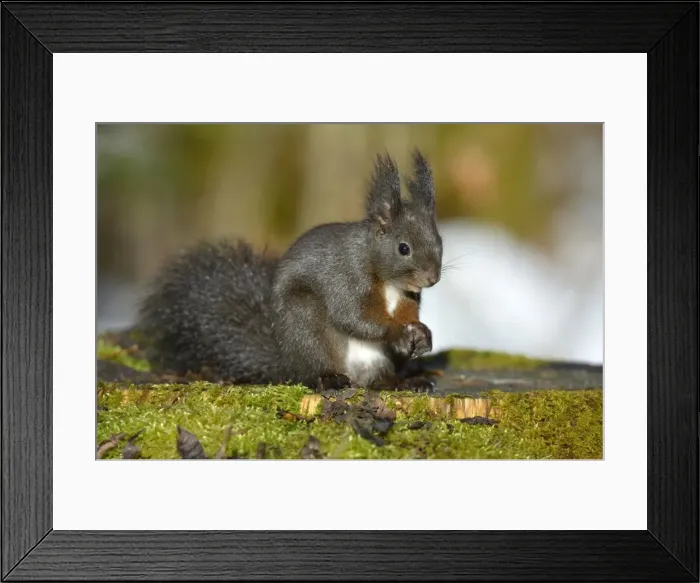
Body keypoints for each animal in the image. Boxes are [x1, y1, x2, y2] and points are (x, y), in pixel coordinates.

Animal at [137, 149, 443, 393]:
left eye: (439, 241)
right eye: (403, 248)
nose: (432, 279)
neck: (389, 281)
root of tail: (287, 361)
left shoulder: (406, 298)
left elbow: (407, 314)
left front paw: (422, 334)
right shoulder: (347, 278)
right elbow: (352, 316)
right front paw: (398, 334)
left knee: (377, 380)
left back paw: (403, 382)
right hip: (305, 322)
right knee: (315, 369)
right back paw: (330, 379)